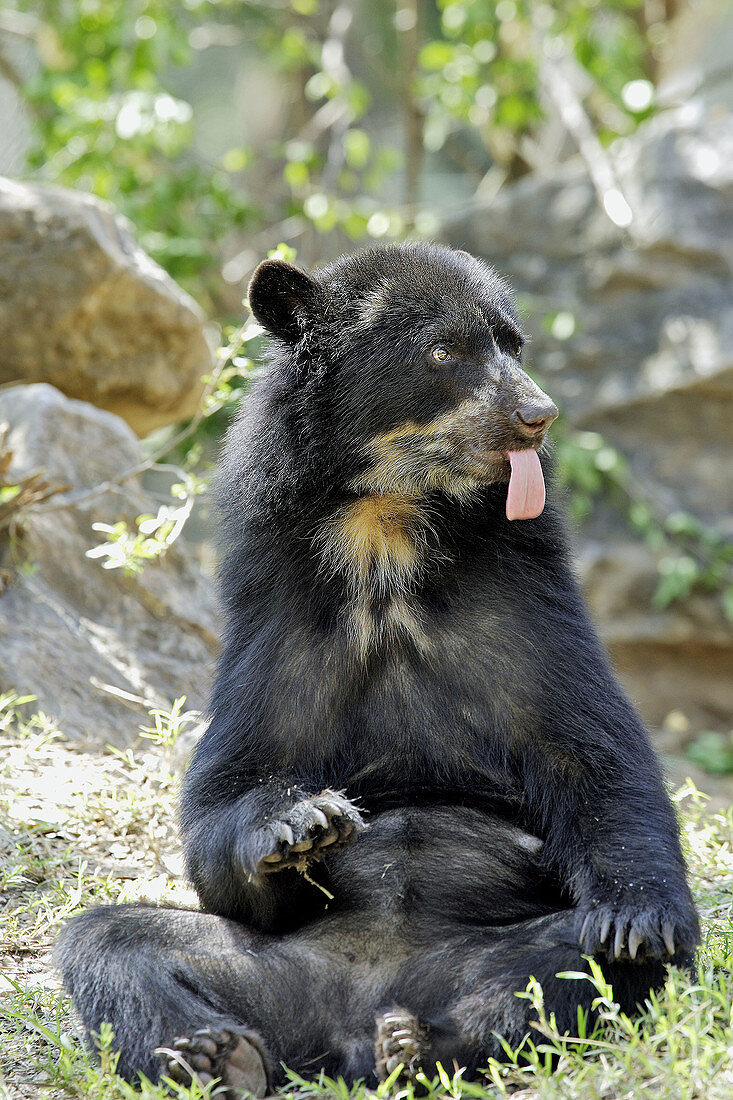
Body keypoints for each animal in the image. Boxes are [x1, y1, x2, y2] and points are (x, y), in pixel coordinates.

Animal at [57, 245, 695, 1095]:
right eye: (443, 350)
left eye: (512, 343)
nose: (538, 413)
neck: (384, 526)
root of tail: (348, 1027)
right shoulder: (278, 620)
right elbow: (228, 790)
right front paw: (300, 822)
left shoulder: (526, 601)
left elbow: (592, 753)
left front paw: (635, 916)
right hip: (264, 969)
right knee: (113, 941)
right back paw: (217, 1055)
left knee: (572, 963)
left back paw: (425, 1043)